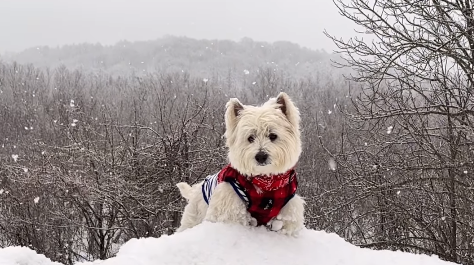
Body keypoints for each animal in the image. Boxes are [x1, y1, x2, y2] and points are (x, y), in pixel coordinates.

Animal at [176, 92, 306, 235]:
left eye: (273, 136)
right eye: (250, 138)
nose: (261, 156)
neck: (266, 183)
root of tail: (195, 189)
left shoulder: (288, 212)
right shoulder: (230, 207)